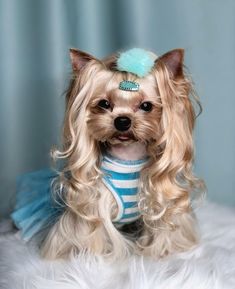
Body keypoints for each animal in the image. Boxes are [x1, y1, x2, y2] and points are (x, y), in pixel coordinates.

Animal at [34, 46, 204, 258]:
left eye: (146, 106)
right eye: (104, 104)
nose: (122, 121)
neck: (128, 159)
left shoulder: (156, 203)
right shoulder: (93, 208)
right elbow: (94, 234)